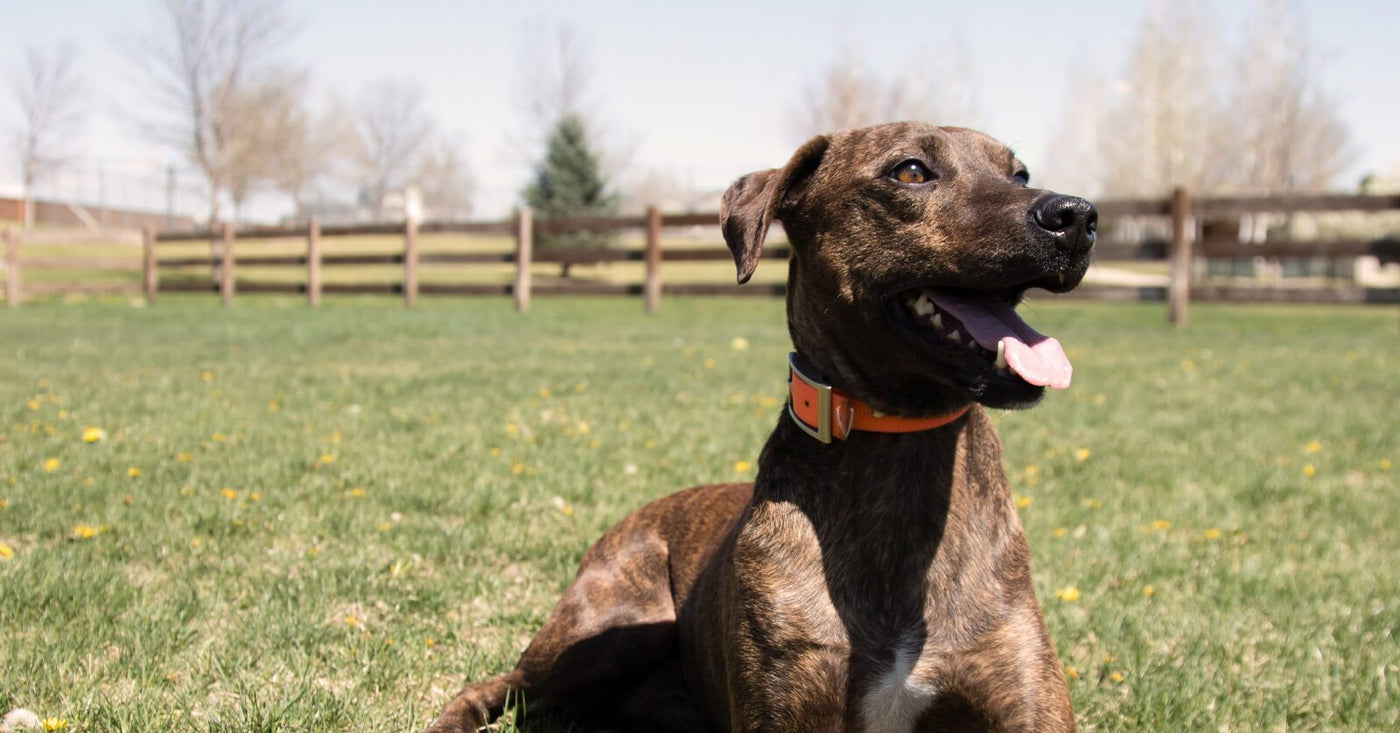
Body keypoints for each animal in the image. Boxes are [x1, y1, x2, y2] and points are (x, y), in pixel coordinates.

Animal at [425, 123, 1092, 727]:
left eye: (1019, 174)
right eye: (910, 172)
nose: (1077, 215)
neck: (902, 445)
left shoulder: (1026, 701)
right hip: (603, 632)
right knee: (504, 682)